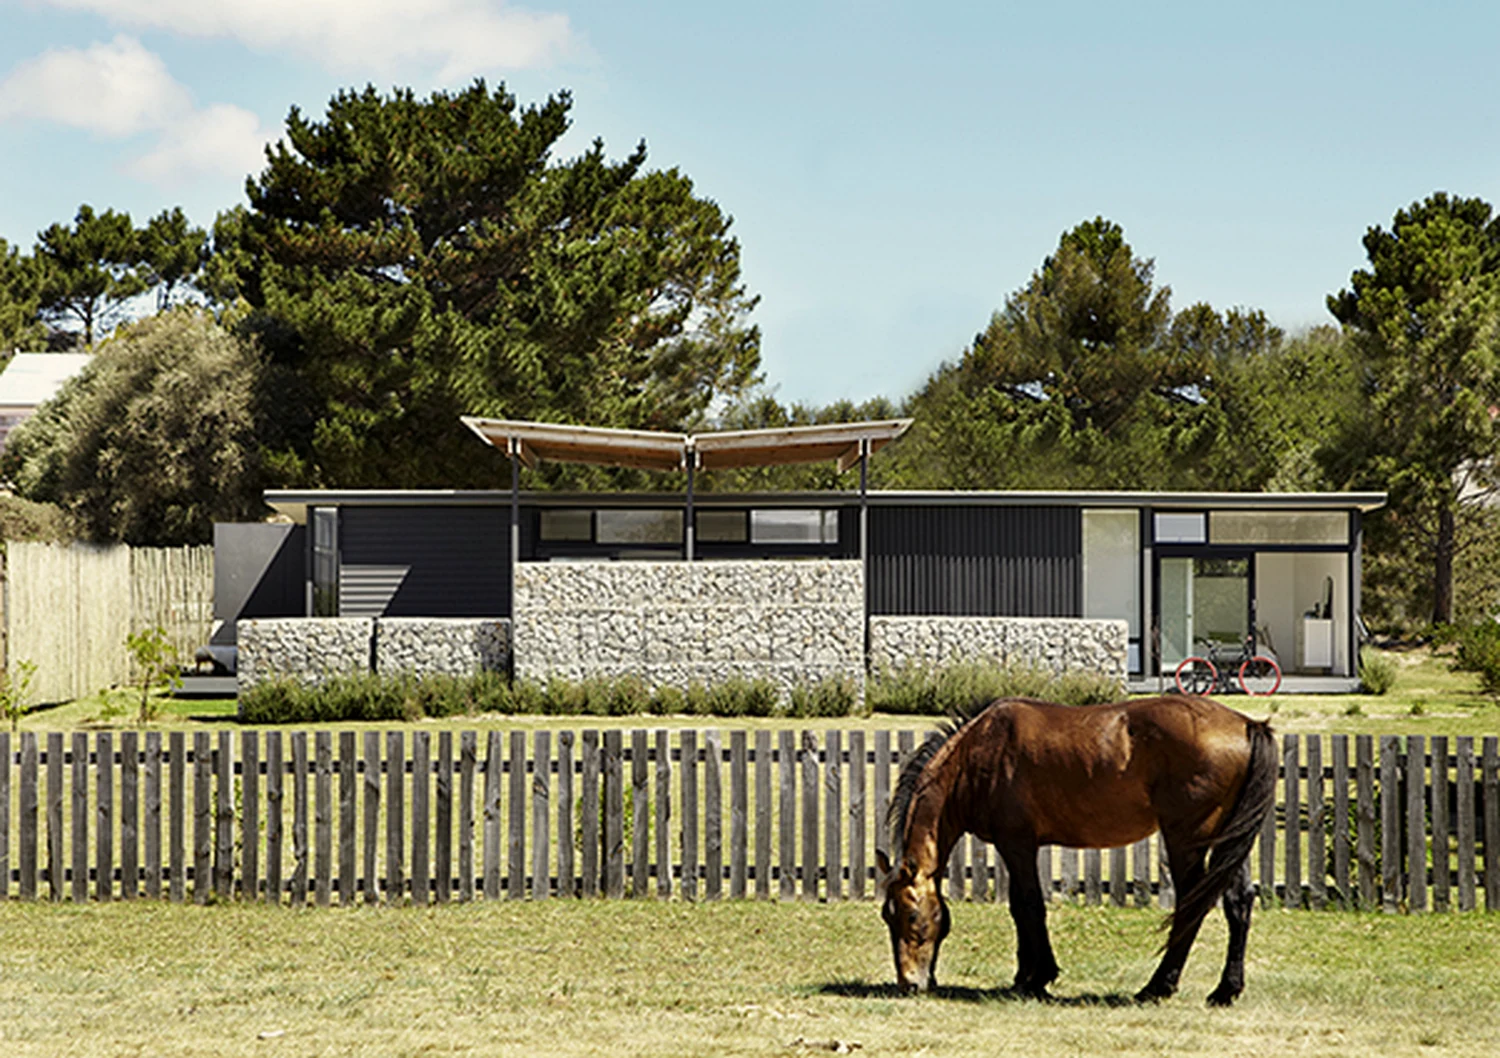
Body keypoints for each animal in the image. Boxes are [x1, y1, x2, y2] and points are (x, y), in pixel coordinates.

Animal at [876, 694, 1276, 1006]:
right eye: (886, 916)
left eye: (911, 916)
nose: (909, 983)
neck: (979, 751)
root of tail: (1246, 724)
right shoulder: (1018, 847)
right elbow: (1019, 908)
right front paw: (1024, 976)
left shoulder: (1016, 844)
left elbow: (1029, 906)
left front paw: (1039, 977)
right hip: (1227, 842)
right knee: (1238, 901)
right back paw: (1225, 991)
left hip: (1187, 841)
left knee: (1192, 905)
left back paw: (1157, 986)